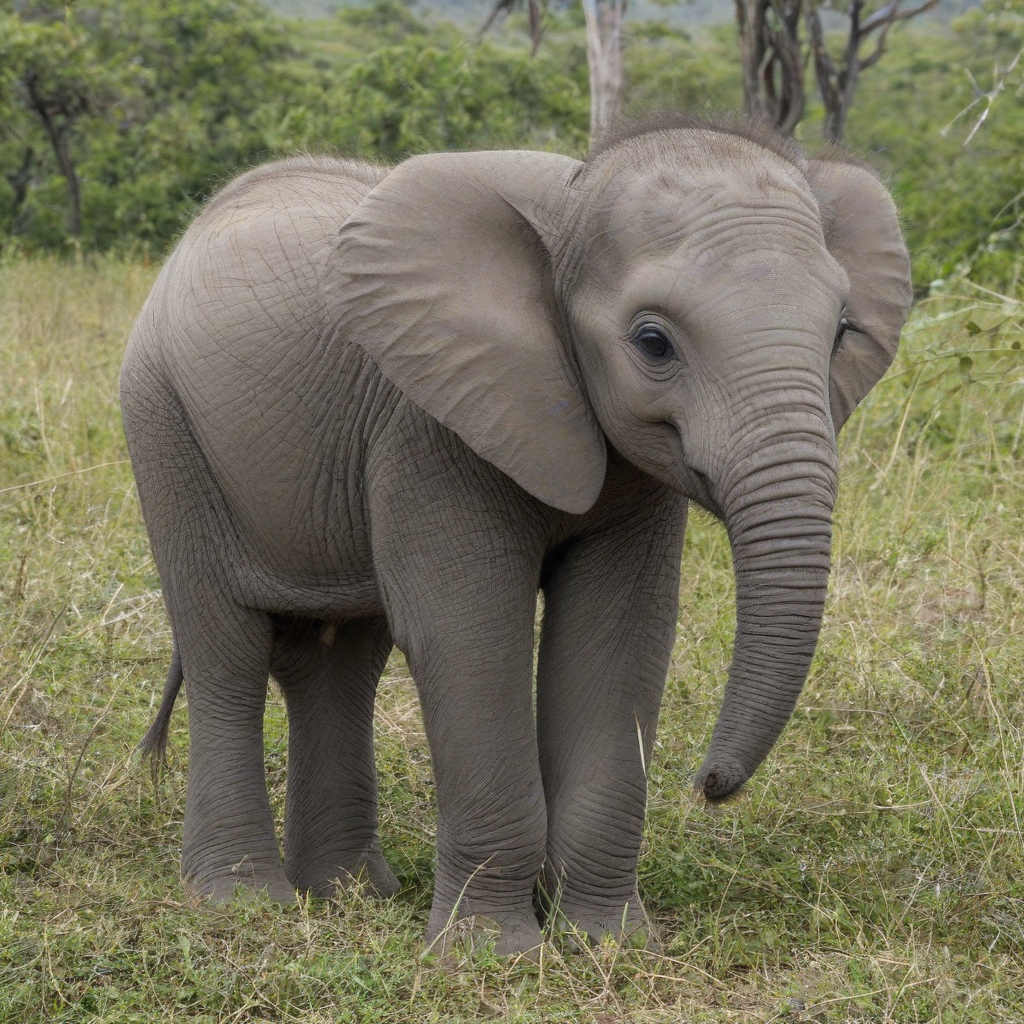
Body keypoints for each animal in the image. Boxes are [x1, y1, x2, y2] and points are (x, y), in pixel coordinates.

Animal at [122, 113, 911, 957]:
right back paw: (242, 903)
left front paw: (607, 944)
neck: (574, 203)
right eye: (653, 342)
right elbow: (469, 634)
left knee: (339, 659)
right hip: (164, 426)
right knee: (227, 650)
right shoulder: (430, 424)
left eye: (841, 332)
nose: (706, 784)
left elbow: (617, 637)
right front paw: (489, 955)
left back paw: (349, 894)